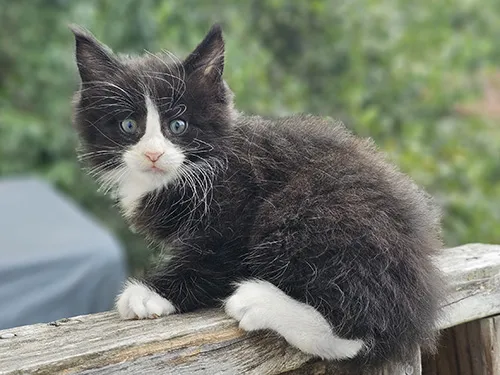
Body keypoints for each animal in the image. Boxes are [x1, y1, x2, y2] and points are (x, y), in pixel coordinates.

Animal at [69, 22, 446, 368]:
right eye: (129, 126)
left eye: (178, 126)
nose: (152, 154)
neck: (196, 171)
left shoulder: (237, 202)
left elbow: (212, 257)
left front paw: (150, 293)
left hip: (314, 210)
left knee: (360, 329)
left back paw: (258, 301)